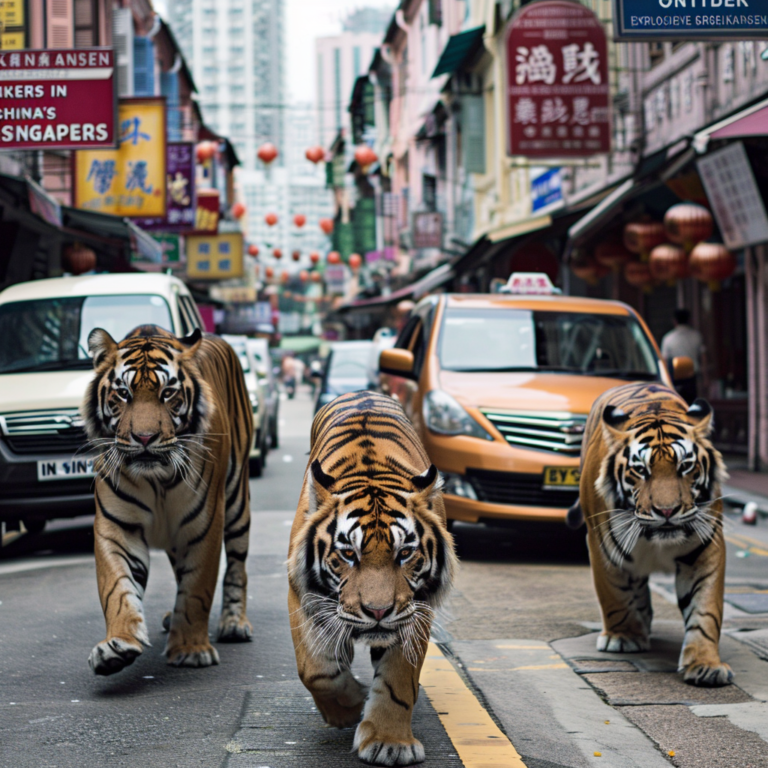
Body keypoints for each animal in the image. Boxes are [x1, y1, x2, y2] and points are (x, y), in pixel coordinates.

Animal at [81, 324, 254, 675]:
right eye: (123, 393)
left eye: (168, 393)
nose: (145, 438)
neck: (156, 480)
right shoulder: (116, 526)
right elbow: (117, 588)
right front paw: (116, 646)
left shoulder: (205, 524)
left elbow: (197, 588)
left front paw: (190, 650)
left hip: (237, 501)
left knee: (236, 567)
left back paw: (234, 623)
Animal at [287, 391, 457, 766]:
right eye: (348, 554)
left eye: (404, 553)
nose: (378, 611)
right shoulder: (302, 595)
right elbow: (316, 670)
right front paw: (347, 710)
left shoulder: (415, 610)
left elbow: (398, 681)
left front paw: (389, 743)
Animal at [573, 381, 730, 687]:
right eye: (640, 470)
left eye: (685, 466)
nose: (666, 510)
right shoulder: (601, 545)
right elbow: (614, 593)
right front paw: (623, 637)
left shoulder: (706, 546)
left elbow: (705, 609)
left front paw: (705, 664)